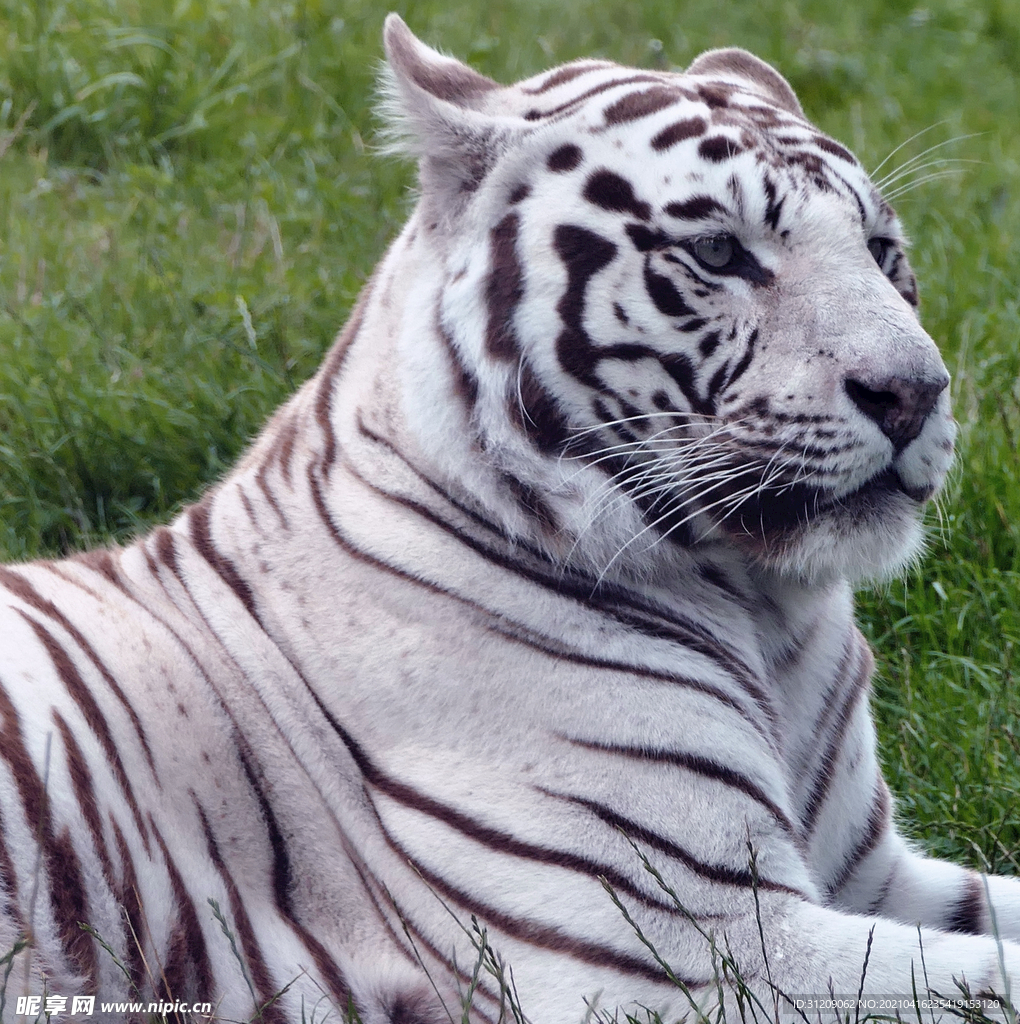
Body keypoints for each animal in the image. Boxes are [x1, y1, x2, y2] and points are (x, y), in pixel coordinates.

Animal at [1, 13, 1019, 1024]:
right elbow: (992, 977)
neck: (767, 613)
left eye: (882, 252)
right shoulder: (698, 950)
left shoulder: (868, 873)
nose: (916, 393)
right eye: (720, 253)